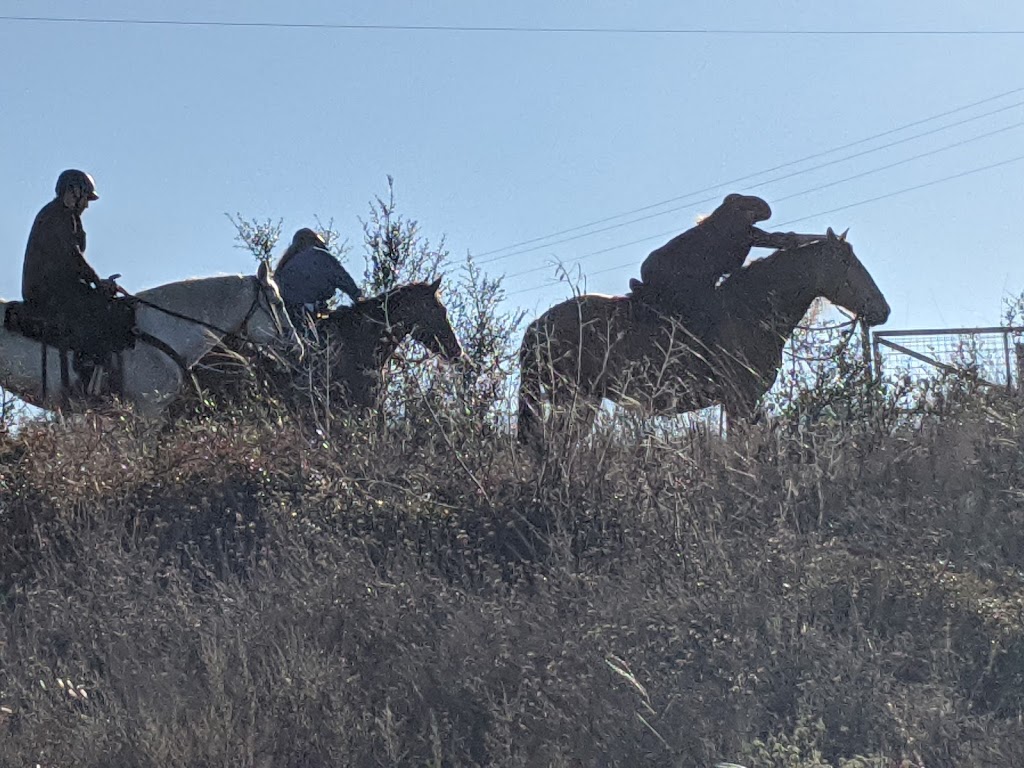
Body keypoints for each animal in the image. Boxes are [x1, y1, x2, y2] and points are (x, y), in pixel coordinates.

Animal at [520, 228, 888, 448]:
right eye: (845, 261)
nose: (882, 310)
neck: (750, 309)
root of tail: (538, 327)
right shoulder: (739, 400)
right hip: (571, 397)